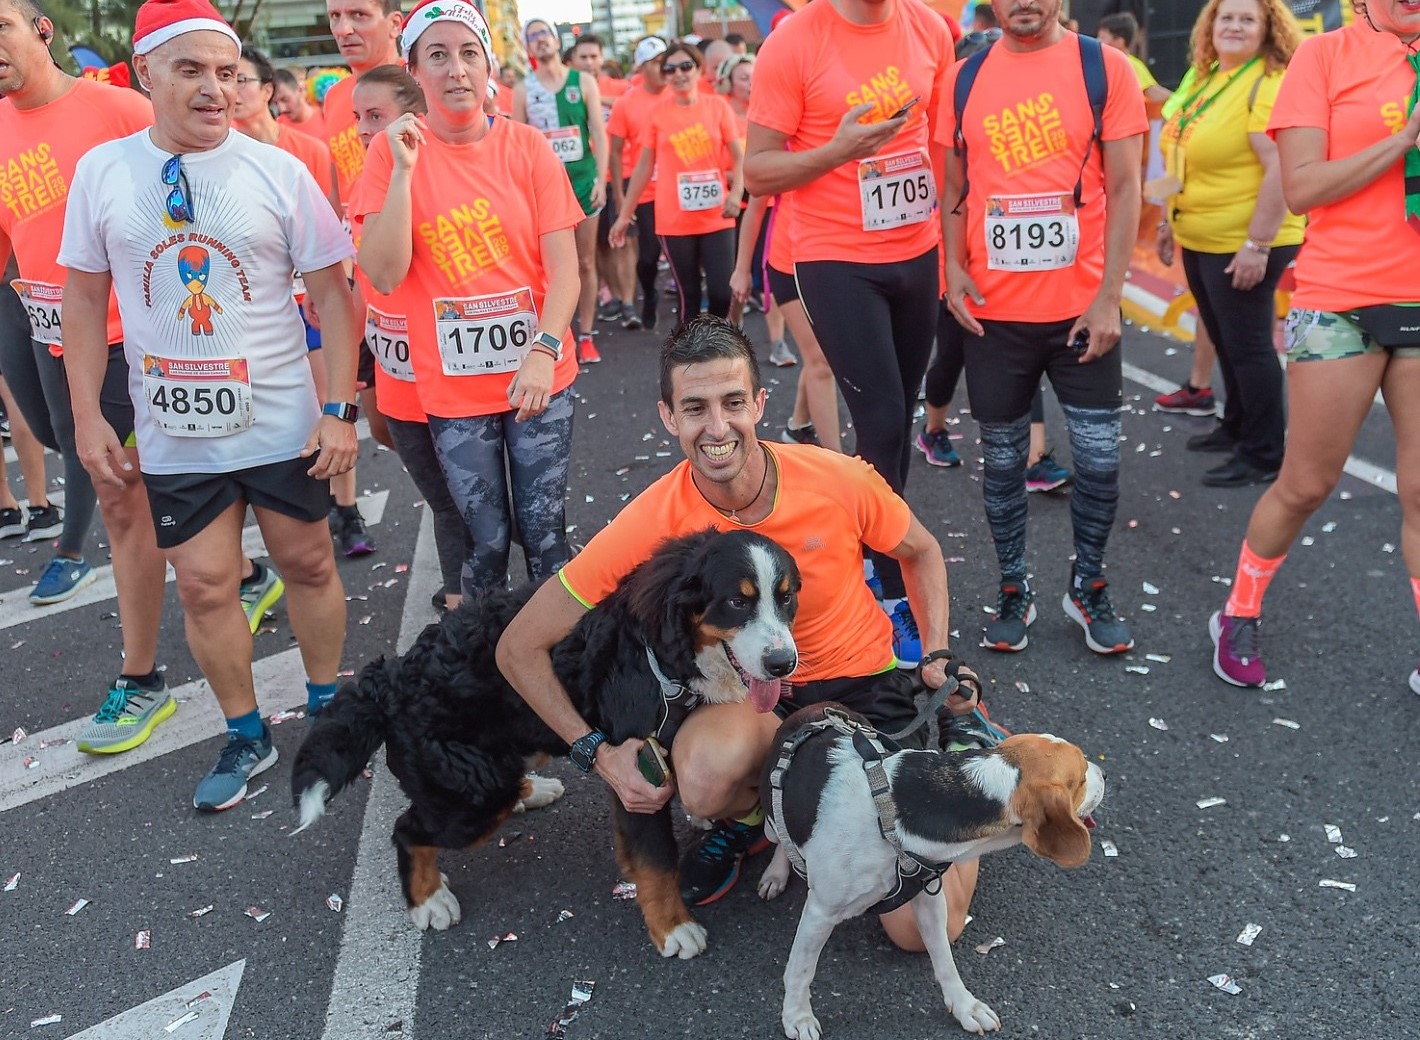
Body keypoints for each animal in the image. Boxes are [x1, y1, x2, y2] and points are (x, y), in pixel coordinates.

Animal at [288, 531, 800, 960]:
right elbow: (656, 861)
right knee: (409, 830)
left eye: (787, 597)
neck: (668, 657)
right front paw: (673, 928)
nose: (783, 663)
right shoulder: (637, 772)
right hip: (474, 797)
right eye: (737, 601)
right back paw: (429, 900)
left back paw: (532, 791)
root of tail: (392, 674)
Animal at [761, 701, 1101, 1034]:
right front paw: (797, 1017)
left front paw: (965, 1006)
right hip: (771, 822)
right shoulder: (820, 913)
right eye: (1083, 778)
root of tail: (815, 708)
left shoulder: (927, 897)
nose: (1103, 773)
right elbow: (801, 970)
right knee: (778, 839)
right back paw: (776, 874)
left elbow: (944, 960)